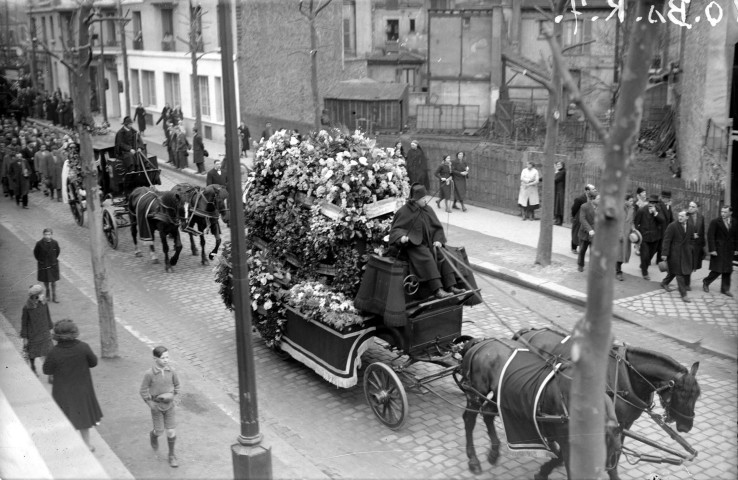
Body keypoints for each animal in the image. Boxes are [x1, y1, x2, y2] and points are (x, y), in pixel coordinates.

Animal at [454, 338, 620, 480]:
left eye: (611, 453)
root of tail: (480, 343)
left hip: (500, 394)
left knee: (488, 413)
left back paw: (494, 453)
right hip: (476, 393)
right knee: (469, 420)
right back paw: (473, 460)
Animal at [508, 326, 700, 480]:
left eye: (697, 394)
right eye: (682, 394)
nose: (686, 426)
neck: (626, 377)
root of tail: (528, 332)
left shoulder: (623, 425)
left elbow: (616, 453)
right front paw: (547, 468)